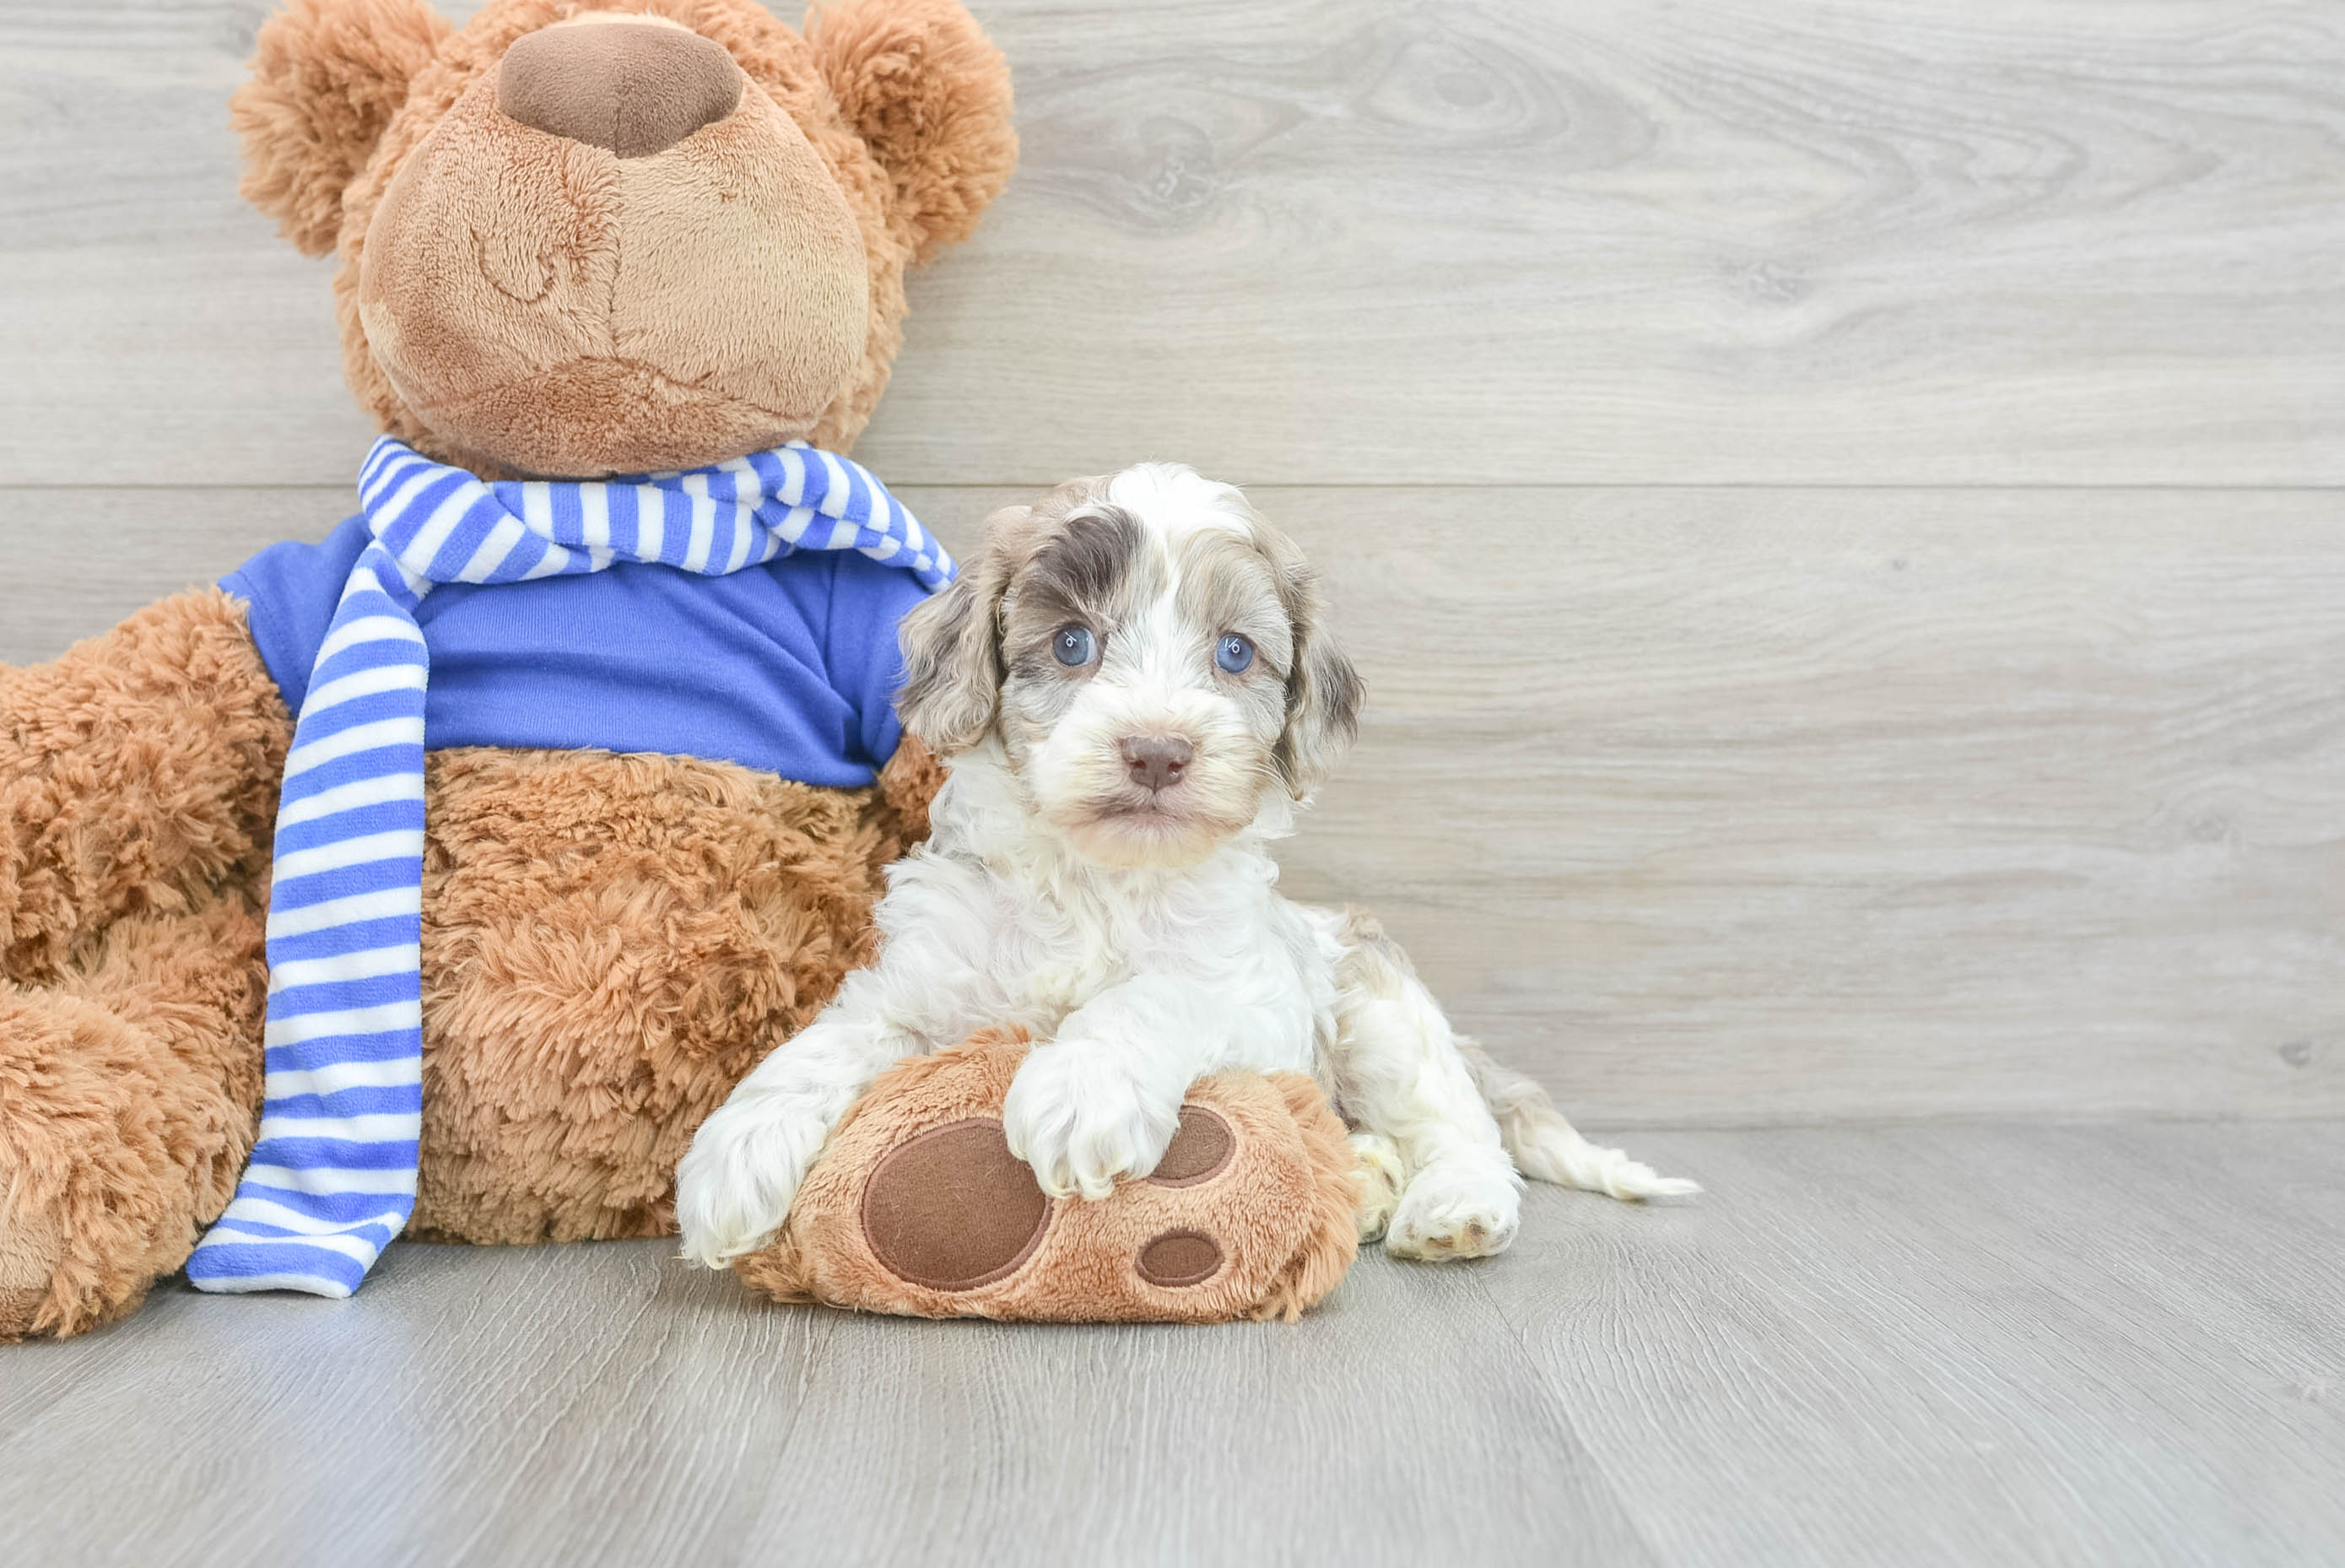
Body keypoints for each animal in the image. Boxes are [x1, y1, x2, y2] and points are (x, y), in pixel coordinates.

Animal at [670, 459, 1697, 1265]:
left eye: (1234, 653)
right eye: (1072, 642)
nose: (1158, 752)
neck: (1095, 879)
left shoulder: (1248, 990)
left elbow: (1153, 995)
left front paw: (1081, 1088)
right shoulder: (920, 980)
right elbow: (831, 1040)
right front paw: (734, 1153)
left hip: (1379, 1009)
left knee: (1455, 1122)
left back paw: (1451, 1206)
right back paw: (1366, 1178)